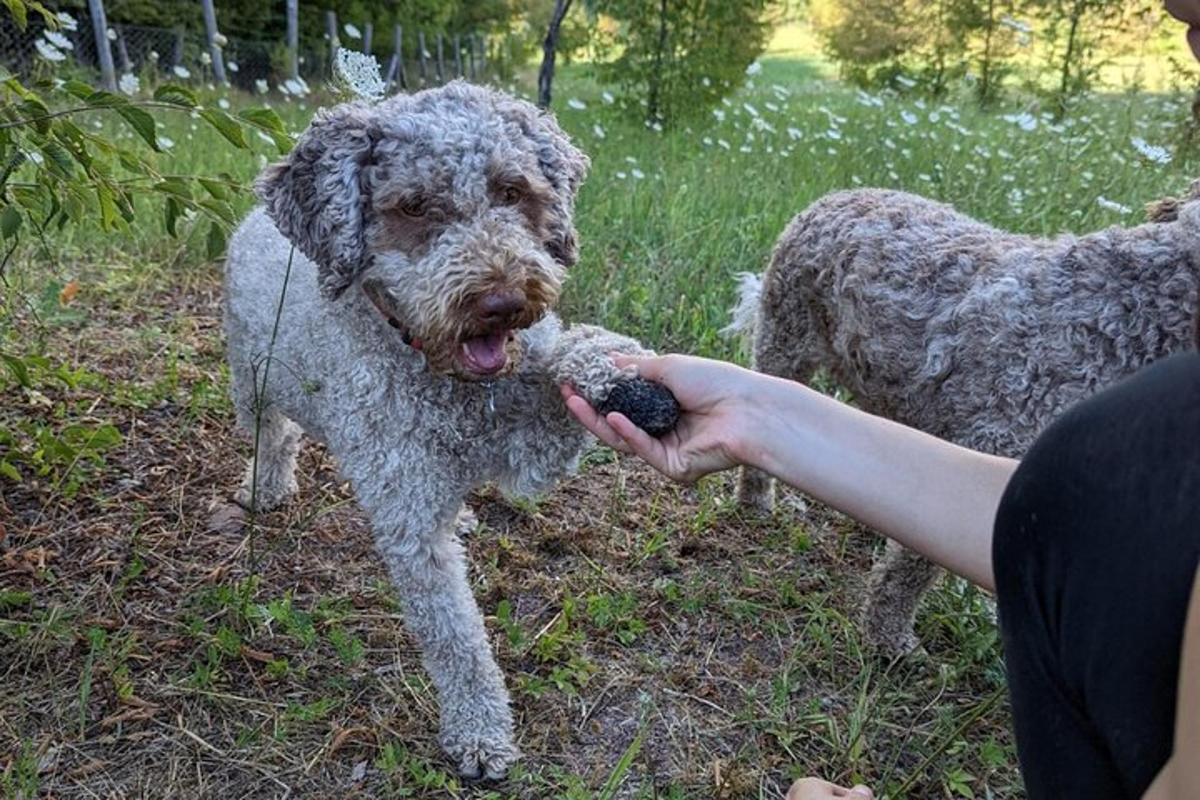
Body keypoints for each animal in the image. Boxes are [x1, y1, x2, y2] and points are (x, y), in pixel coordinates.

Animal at [225, 82, 676, 782]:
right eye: (414, 206)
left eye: (512, 191)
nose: (503, 302)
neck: (453, 387)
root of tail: (254, 220)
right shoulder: (410, 522)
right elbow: (457, 640)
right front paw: (480, 733)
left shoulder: (527, 447)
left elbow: (574, 356)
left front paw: (610, 370)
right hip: (252, 378)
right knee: (272, 435)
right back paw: (263, 488)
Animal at [724, 185, 1200, 657]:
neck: (1130, 311)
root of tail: (839, 194)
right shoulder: (990, 447)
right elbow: (912, 568)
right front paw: (888, 637)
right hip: (786, 342)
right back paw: (756, 502)